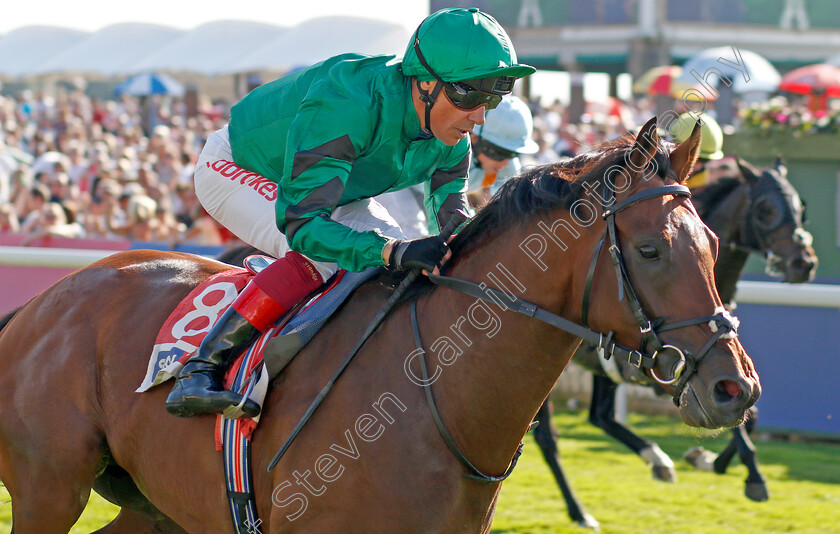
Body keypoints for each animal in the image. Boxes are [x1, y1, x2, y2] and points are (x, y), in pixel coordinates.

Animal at [0, 119, 760, 532]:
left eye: (712, 245)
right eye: (652, 250)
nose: (736, 388)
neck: (434, 397)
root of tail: (42, 303)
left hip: (158, 506)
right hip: (47, 492)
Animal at [536, 154, 816, 528]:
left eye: (801, 208)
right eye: (765, 209)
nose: (804, 263)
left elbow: (749, 415)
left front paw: (709, 459)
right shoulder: (679, 374)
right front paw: (753, 476)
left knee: (600, 416)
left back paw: (656, 460)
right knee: (548, 437)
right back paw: (580, 511)